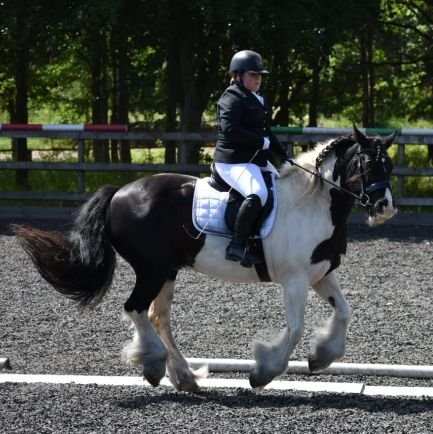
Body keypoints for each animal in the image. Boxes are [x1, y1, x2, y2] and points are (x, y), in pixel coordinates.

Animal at [11, 124, 396, 390]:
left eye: (389, 165)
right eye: (365, 163)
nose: (385, 208)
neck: (312, 204)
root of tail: (119, 192)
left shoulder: (320, 275)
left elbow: (344, 311)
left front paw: (321, 357)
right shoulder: (295, 280)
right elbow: (296, 327)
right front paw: (262, 372)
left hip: (167, 270)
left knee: (157, 316)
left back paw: (183, 377)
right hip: (151, 269)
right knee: (136, 309)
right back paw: (154, 364)